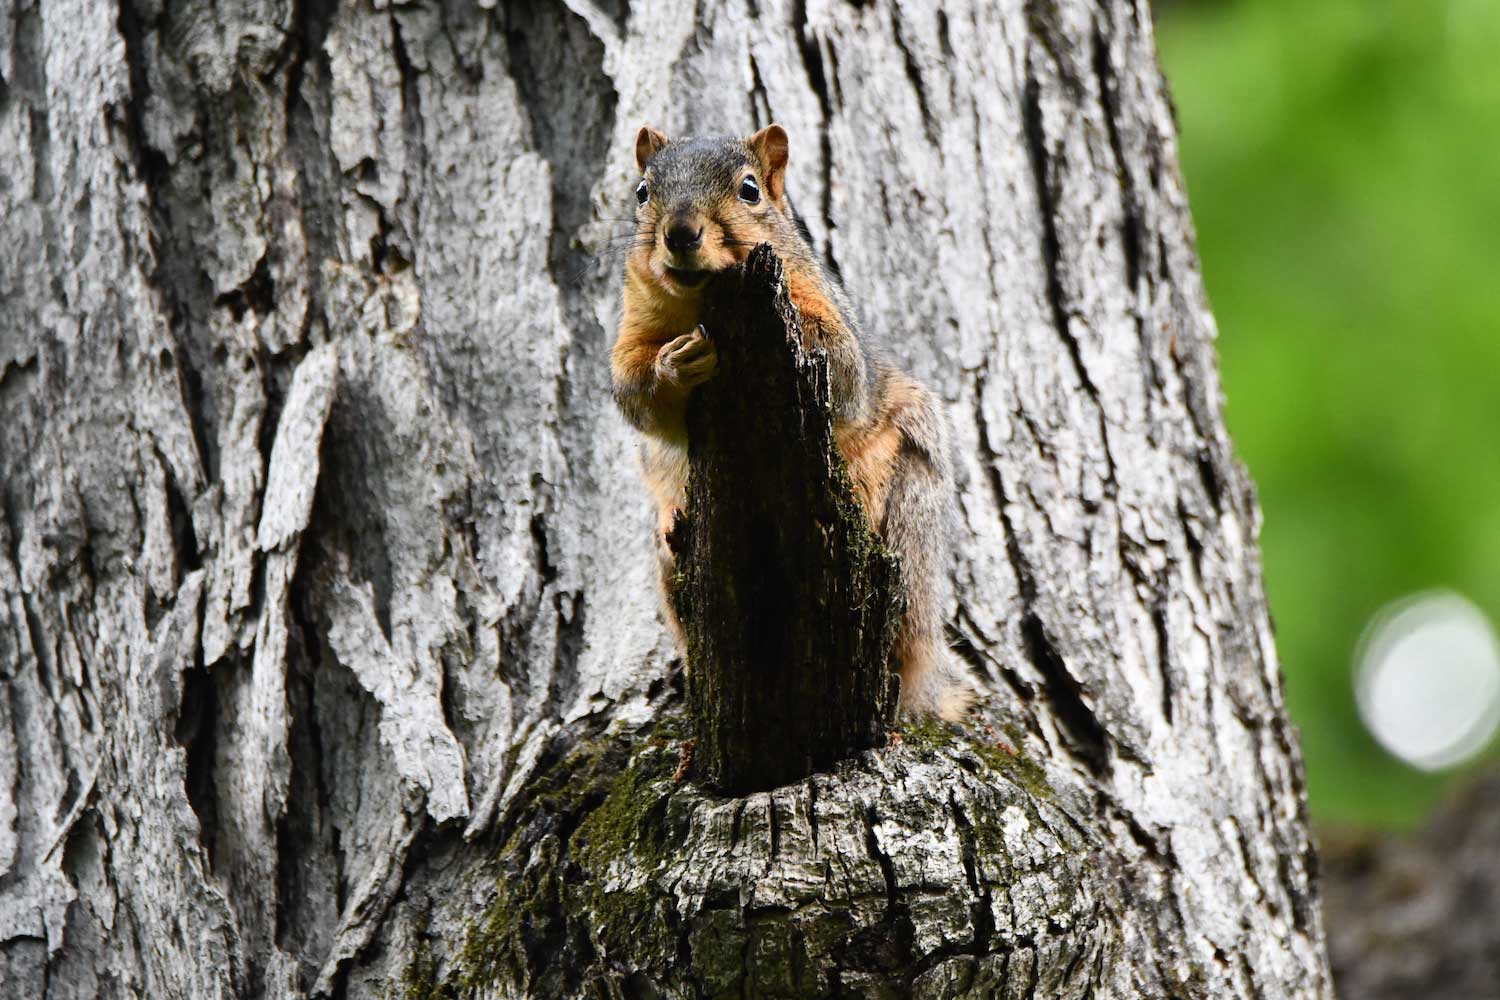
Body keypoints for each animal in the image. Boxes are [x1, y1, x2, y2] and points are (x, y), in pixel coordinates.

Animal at [609, 122, 972, 719]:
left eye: (750, 190)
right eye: (642, 192)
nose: (680, 232)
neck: (699, 304)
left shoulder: (827, 317)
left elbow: (844, 370)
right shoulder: (633, 329)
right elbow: (638, 399)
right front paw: (674, 363)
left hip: (911, 519)